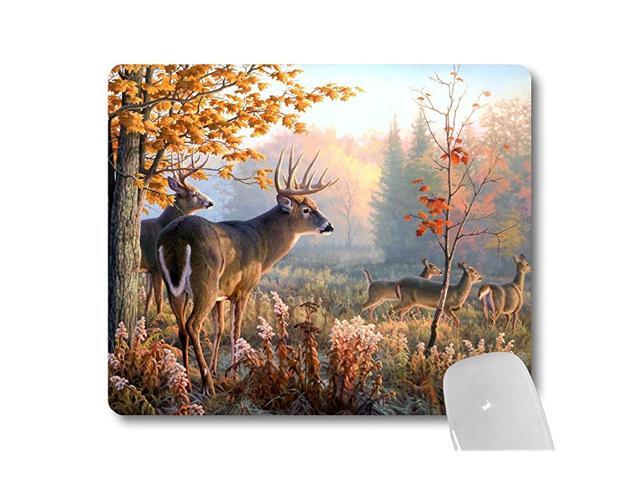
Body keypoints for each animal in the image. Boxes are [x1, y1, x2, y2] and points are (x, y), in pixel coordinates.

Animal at [139, 161, 213, 317]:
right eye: (194, 193)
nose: (211, 202)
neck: (162, 225)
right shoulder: (156, 266)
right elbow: (159, 297)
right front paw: (159, 317)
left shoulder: (149, 268)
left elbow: (148, 297)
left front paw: (145, 316)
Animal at [156, 148, 338, 394]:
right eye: (306, 209)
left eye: (315, 204)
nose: (329, 226)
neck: (260, 243)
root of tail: (176, 233)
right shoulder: (243, 289)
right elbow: (236, 331)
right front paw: (233, 374)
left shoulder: (222, 294)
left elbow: (220, 329)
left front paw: (217, 369)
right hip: (205, 281)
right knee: (192, 325)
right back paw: (207, 385)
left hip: (175, 287)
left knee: (182, 328)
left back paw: (185, 380)